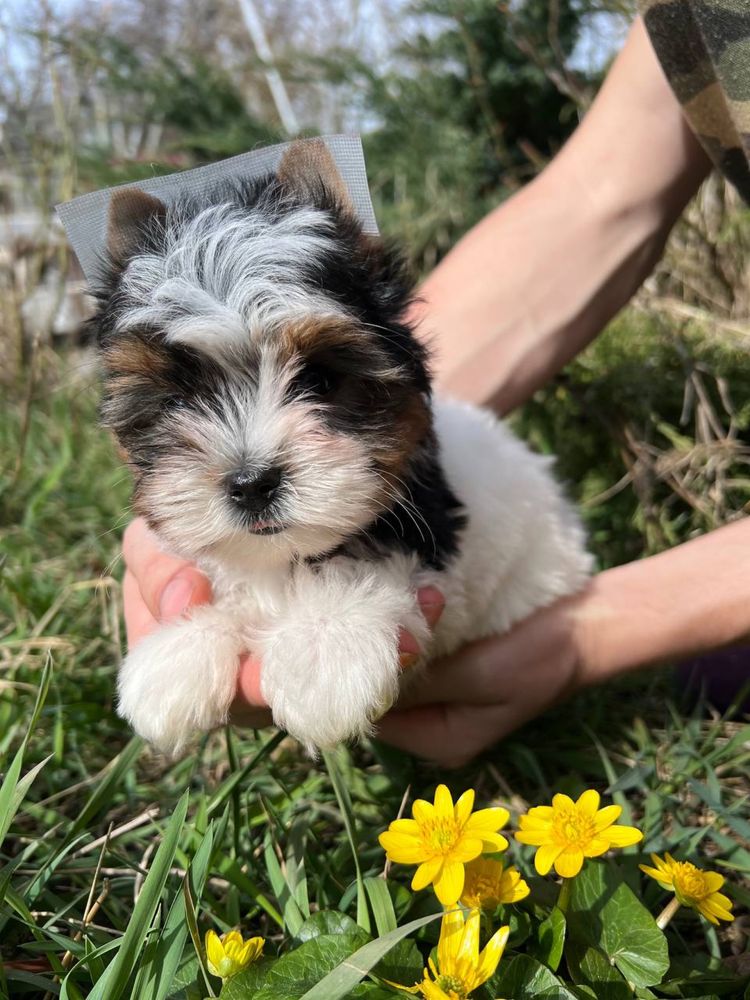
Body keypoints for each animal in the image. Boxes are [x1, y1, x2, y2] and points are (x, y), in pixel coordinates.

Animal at [91, 139, 592, 752]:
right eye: (180, 398)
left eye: (321, 380)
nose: (251, 483)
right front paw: (182, 650)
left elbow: (371, 561)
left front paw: (324, 647)